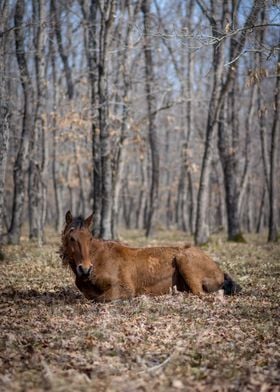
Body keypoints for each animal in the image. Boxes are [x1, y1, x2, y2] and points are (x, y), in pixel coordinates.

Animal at [59, 210, 241, 302]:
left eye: (90, 238)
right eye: (71, 237)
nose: (85, 269)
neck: (97, 259)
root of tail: (220, 271)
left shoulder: (125, 288)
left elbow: (100, 299)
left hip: (183, 260)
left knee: (200, 294)